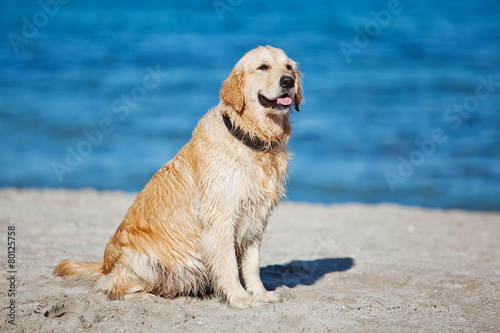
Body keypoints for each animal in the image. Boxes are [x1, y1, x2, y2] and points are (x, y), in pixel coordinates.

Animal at [55, 45, 304, 308]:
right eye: (262, 67)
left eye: (288, 67)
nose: (288, 81)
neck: (250, 138)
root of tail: (104, 265)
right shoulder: (221, 218)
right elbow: (228, 266)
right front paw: (239, 298)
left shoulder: (256, 218)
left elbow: (252, 265)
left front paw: (261, 293)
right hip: (142, 260)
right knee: (111, 287)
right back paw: (146, 297)